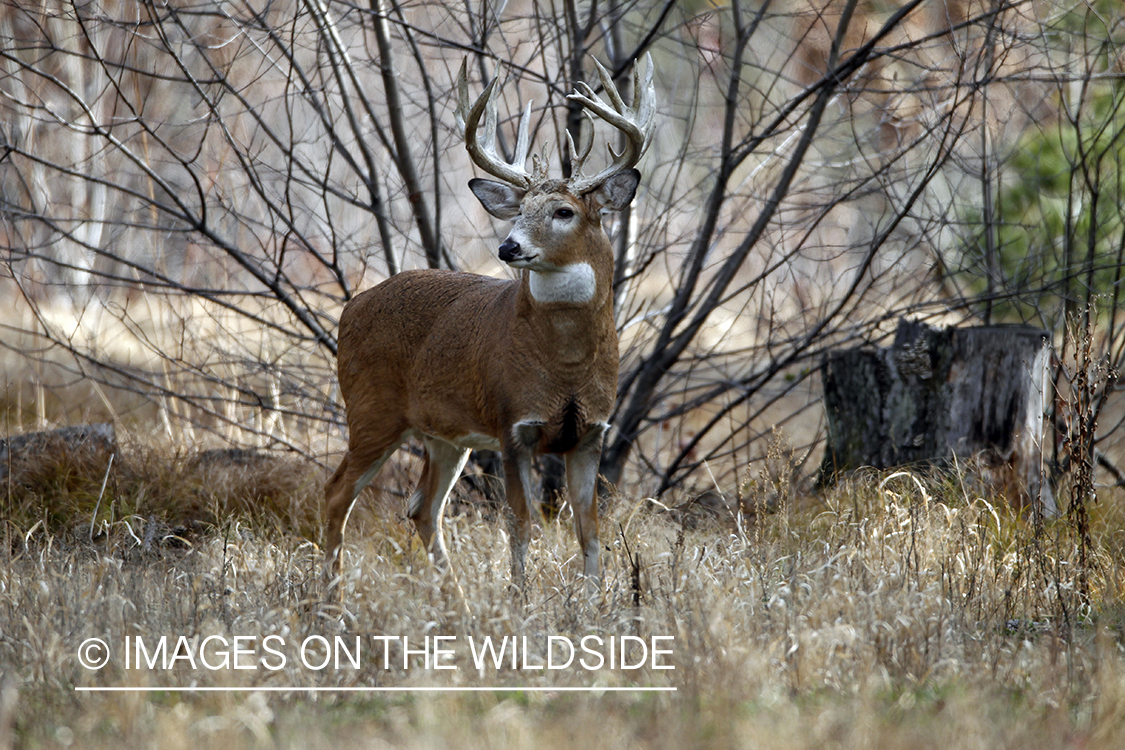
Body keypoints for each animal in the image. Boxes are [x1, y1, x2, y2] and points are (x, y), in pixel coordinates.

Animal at [326, 57, 657, 598]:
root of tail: (350, 308)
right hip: (371, 411)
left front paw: (596, 602)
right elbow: (520, 524)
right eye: (519, 211)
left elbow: (589, 530)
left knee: (422, 509)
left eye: (564, 211)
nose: (508, 247)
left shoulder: (591, 433)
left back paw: (456, 602)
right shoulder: (512, 425)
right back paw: (329, 598)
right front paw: (520, 600)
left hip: (444, 434)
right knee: (337, 494)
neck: (566, 364)